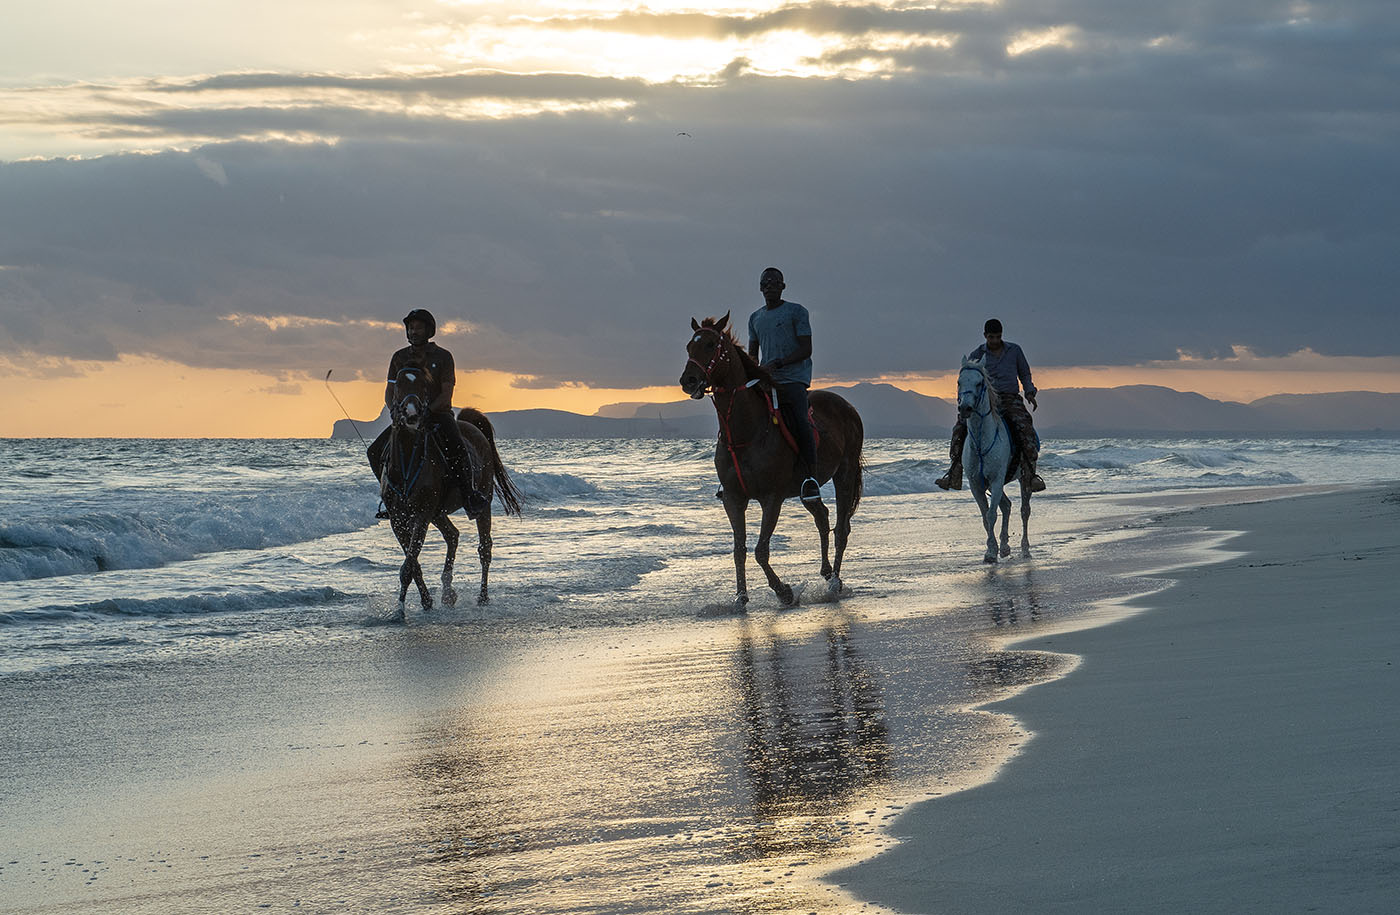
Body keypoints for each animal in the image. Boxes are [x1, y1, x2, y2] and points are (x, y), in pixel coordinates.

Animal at [375, 366, 523, 615]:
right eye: (398, 385)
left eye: (424, 385)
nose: (412, 415)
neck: (408, 463)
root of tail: (471, 426)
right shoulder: (398, 519)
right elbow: (413, 563)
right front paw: (425, 601)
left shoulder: (422, 515)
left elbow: (409, 565)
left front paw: (401, 610)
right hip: (438, 513)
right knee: (452, 535)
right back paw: (447, 593)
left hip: (481, 502)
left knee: (485, 548)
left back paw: (482, 597)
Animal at [677, 316, 862, 610]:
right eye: (688, 347)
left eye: (710, 344)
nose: (689, 380)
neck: (746, 432)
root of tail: (849, 408)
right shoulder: (733, 498)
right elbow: (739, 549)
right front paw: (740, 597)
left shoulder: (771, 498)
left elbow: (761, 550)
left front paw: (783, 591)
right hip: (807, 489)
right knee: (822, 517)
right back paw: (826, 573)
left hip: (845, 473)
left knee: (841, 528)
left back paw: (834, 583)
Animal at [957, 360, 1036, 562]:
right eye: (959, 382)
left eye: (979, 383)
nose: (965, 408)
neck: (981, 442)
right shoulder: (976, 484)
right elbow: (985, 517)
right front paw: (992, 549)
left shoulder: (996, 479)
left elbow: (991, 514)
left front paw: (992, 553)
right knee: (1007, 506)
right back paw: (1005, 547)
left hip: (1024, 477)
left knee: (1025, 510)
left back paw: (1025, 549)